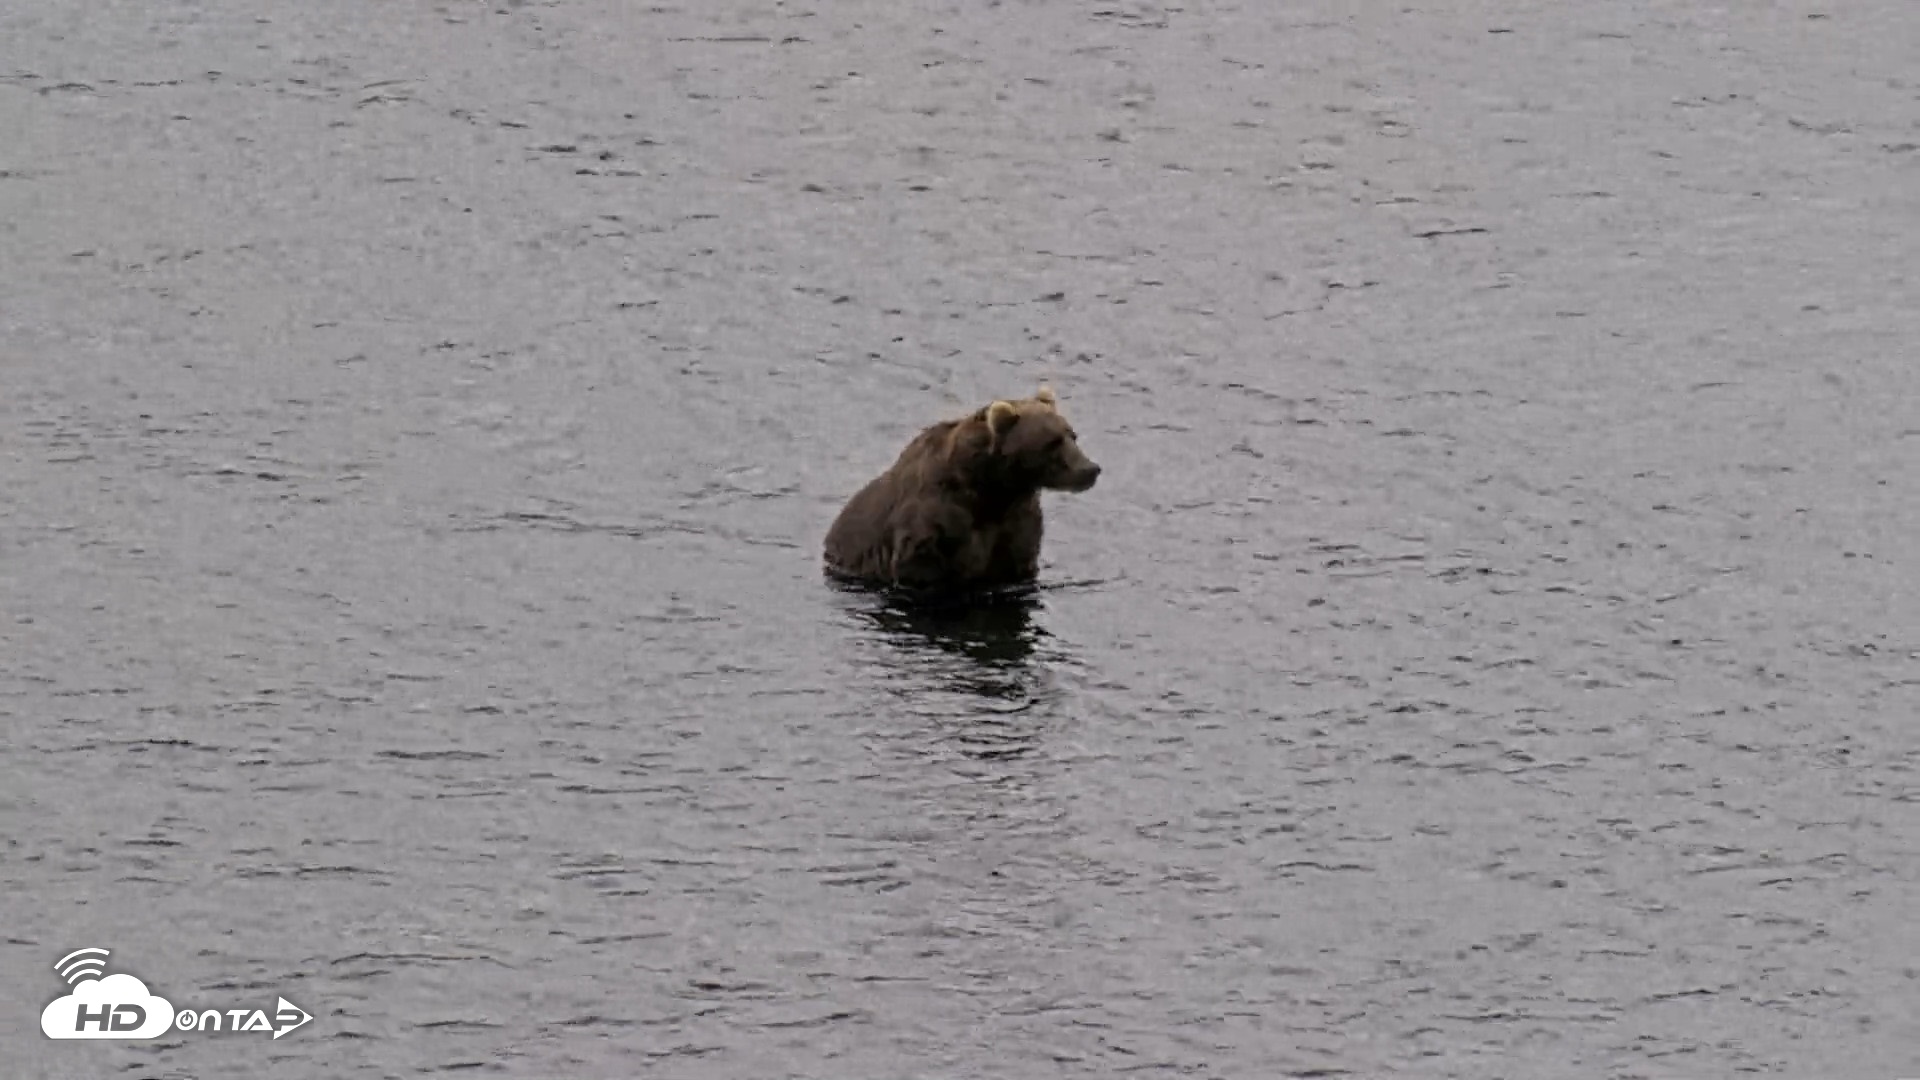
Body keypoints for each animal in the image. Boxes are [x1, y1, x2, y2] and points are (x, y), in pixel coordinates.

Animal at [823, 384, 1101, 591]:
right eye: (1051, 443)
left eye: (1072, 435)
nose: (1090, 469)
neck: (992, 491)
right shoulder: (936, 518)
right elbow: (919, 564)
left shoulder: (1016, 517)